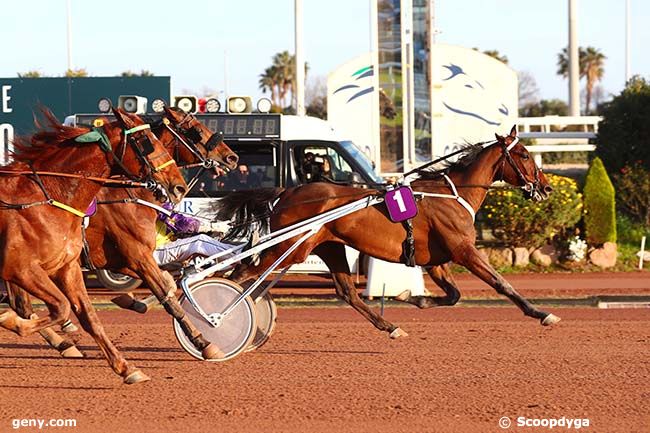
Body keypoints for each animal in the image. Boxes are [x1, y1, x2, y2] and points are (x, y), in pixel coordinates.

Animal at [216, 125, 556, 338]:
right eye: (524, 155)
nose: (546, 188)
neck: (453, 194)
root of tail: (286, 193)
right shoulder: (464, 251)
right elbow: (501, 283)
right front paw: (541, 313)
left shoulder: (436, 261)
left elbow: (453, 295)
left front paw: (411, 298)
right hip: (289, 248)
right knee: (241, 274)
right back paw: (217, 320)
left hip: (328, 246)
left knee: (347, 292)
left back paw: (391, 327)